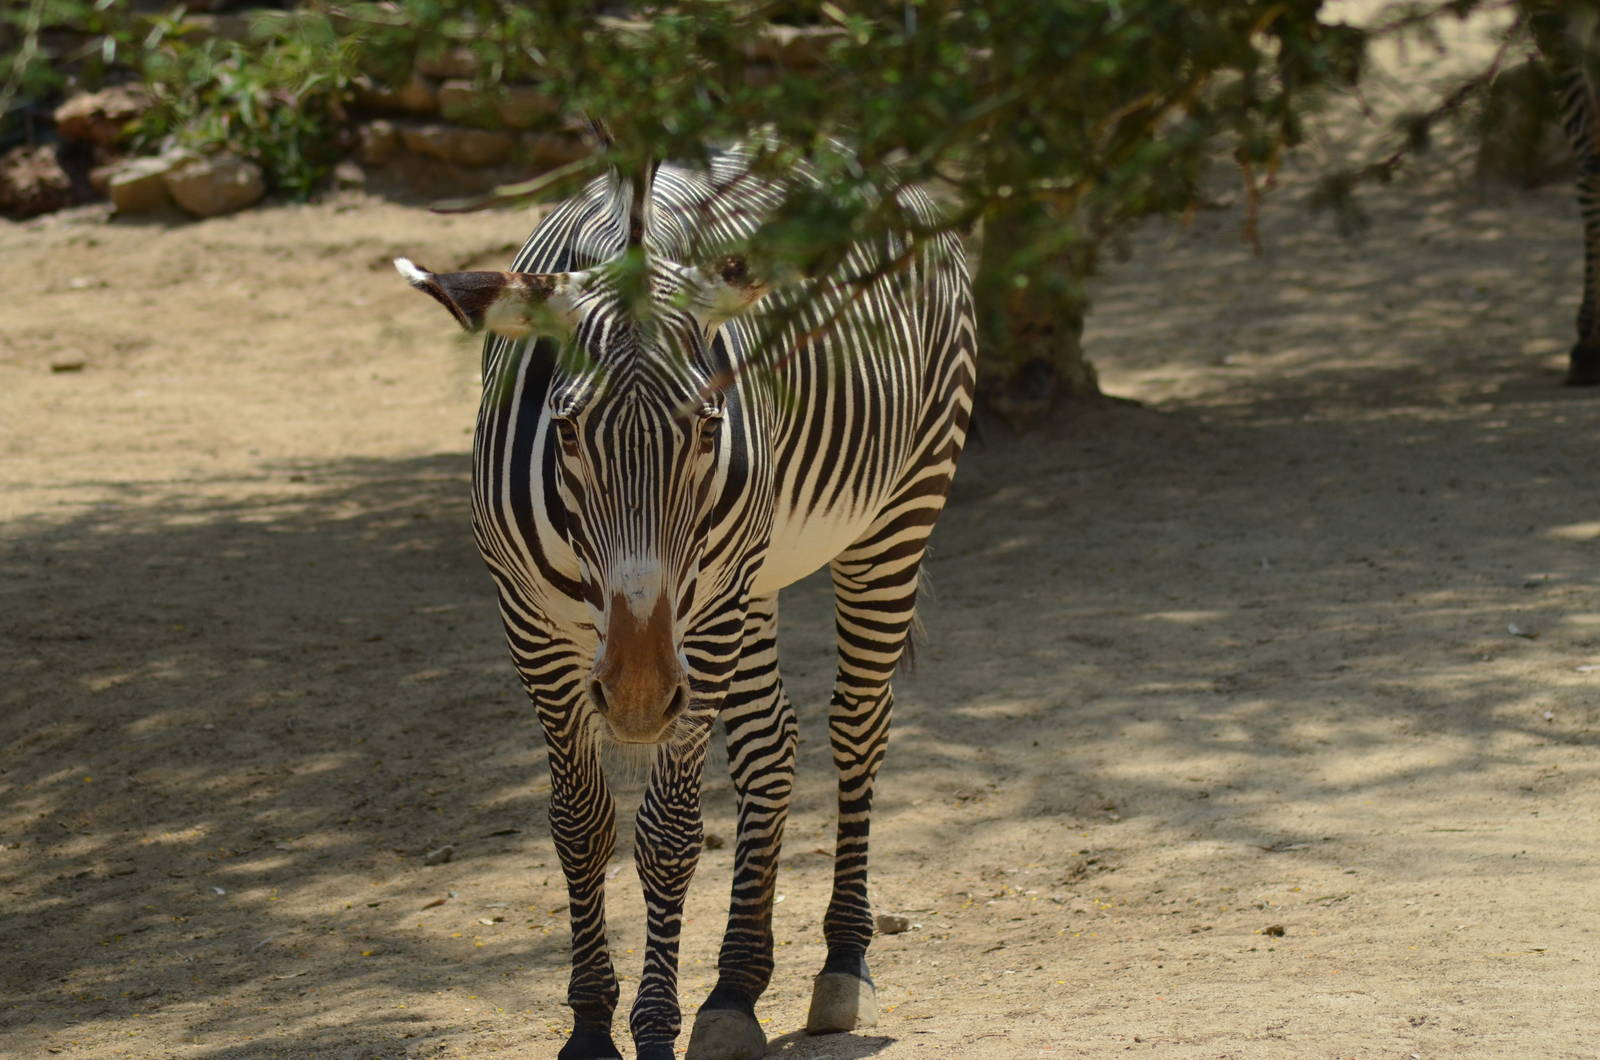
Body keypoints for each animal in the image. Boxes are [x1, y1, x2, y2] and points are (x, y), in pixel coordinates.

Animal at [395, 147, 976, 1060]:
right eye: (565, 430)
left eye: (706, 427)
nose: (636, 694)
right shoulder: (527, 621)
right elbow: (579, 824)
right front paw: (590, 1029)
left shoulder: (698, 626)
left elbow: (667, 836)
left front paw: (655, 1028)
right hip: (756, 575)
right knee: (773, 744)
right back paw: (735, 990)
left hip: (896, 511)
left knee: (858, 726)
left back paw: (843, 964)